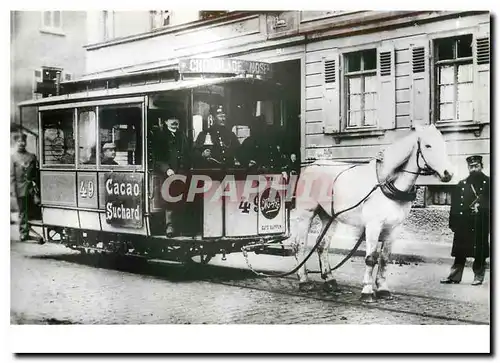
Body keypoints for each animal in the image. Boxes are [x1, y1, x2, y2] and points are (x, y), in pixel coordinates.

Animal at [290, 125, 454, 302]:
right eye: (427, 146)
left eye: (444, 144)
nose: (448, 173)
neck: (388, 183)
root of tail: (312, 165)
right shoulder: (373, 226)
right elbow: (370, 258)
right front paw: (367, 291)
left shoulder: (394, 228)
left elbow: (384, 258)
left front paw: (382, 289)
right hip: (306, 214)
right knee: (300, 245)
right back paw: (304, 281)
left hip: (330, 217)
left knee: (322, 246)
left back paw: (330, 280)